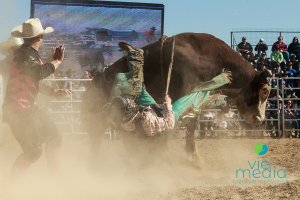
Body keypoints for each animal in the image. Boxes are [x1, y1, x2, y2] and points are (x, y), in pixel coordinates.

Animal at [81, 32, 272, 158]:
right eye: (265, 91)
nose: (260, 119)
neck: (208, 58)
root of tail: (94, 82)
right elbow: (188, 124)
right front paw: (191, 156)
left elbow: (190, 123)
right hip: (96, 119)